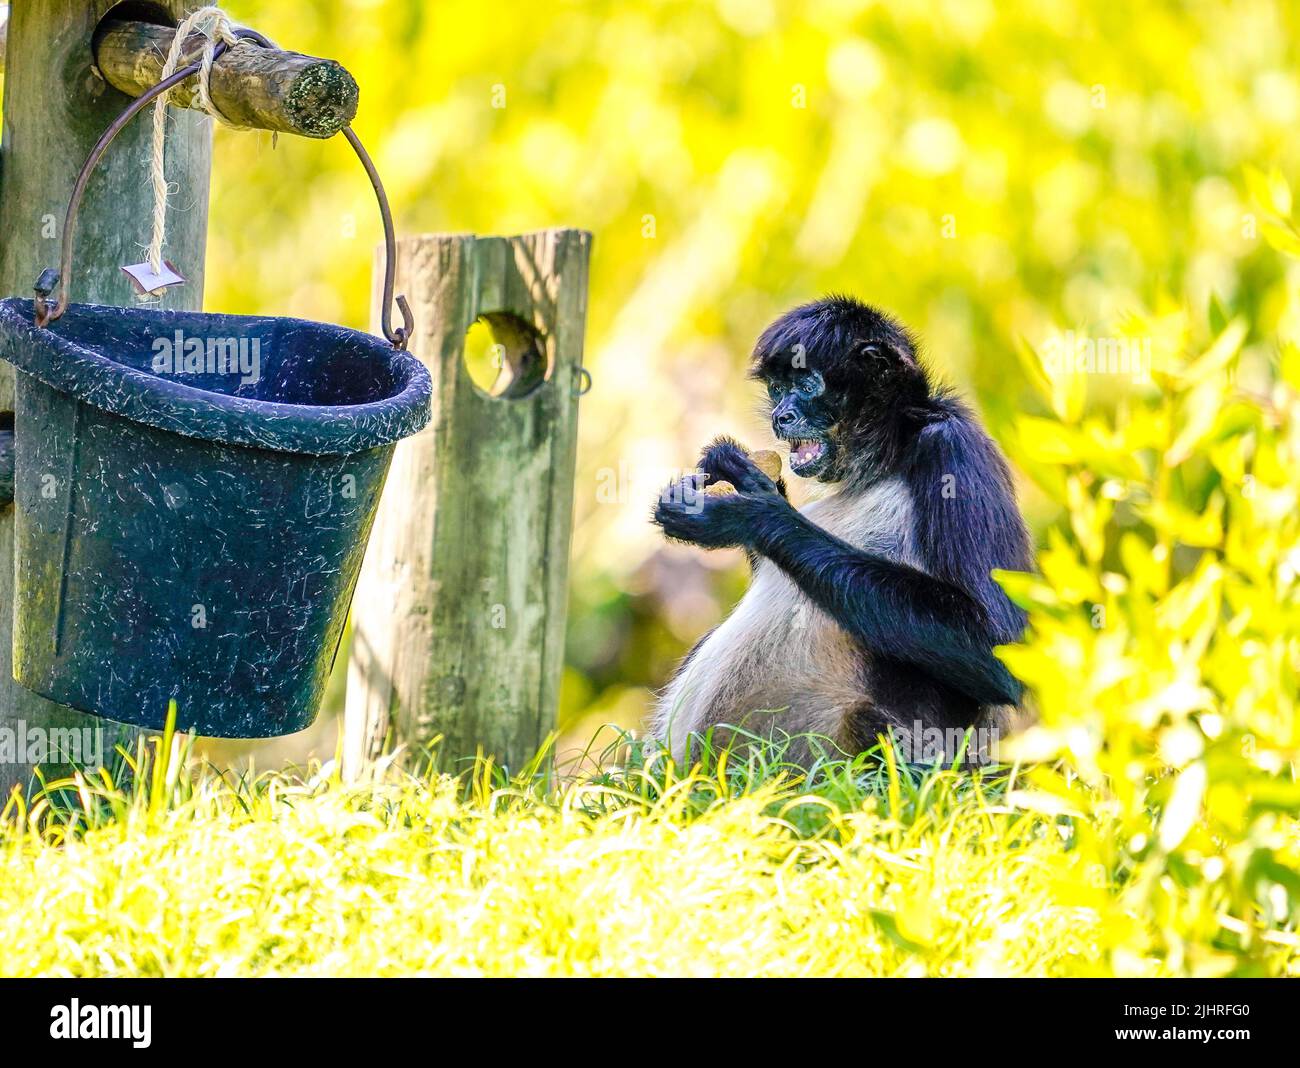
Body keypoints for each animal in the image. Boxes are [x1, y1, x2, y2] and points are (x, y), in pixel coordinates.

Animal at [655, 292, 1029, 758]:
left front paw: (751, 515)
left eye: (807, 385)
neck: (895, 448)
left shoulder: (952, 445)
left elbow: (997, 648)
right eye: (777, 388)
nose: (780, 415)